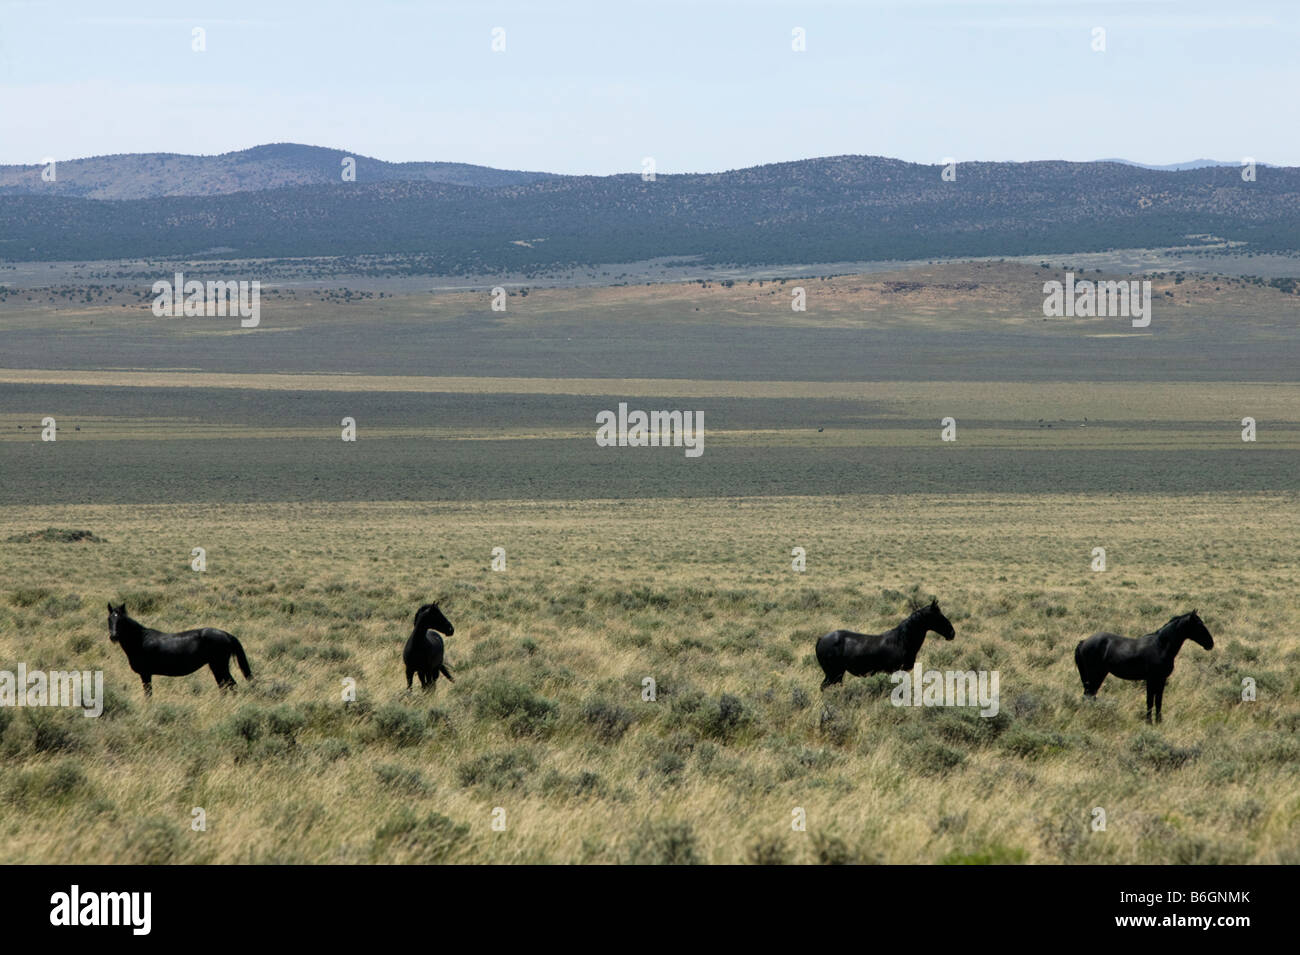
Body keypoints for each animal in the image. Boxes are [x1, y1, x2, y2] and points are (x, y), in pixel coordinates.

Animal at [106, 602, 252, 698]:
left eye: (121, 620)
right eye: (109, 619)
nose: (113, 636)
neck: (140, 640)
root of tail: (227, 634)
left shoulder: (145, 674)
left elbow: (148, 695)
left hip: (219, 665)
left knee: (231, 685)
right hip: (216, 666)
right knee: (224, 686)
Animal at [815, 597, 955, 690]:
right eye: (938, 616)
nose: (952, 633)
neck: (901, 640)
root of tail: (821, 639)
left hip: (837, 674)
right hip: (832, 673)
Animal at [1074, 610, 1214, 723]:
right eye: (1199, 624)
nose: (1210, 644)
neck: (1160, 646)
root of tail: (1083, 642)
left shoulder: (1161, 679)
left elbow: (1158, 701)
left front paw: (1158, 722)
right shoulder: (1151, 679)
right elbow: (1150, 701)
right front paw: (1149, 722)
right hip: (1096, 675)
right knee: (1089, 695)